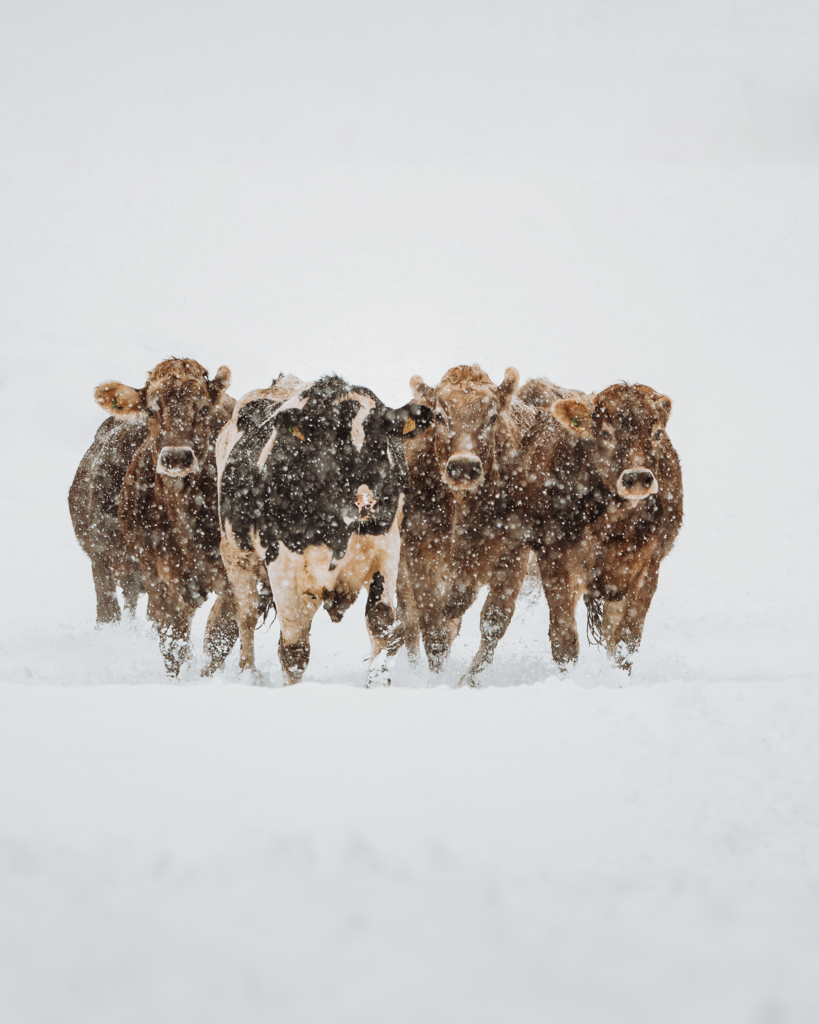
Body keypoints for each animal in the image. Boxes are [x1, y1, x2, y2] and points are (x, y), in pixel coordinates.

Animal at [76, 357, 238, 675]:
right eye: (152, 409)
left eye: (203, 408)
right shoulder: (157, 578)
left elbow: (218, 639)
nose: (176, 457)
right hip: (101, 559)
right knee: (109, 612)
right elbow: (173, 643)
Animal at [217, 374, 433, 685]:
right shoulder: (283, 568)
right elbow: (294, 649)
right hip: (235, 556)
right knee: (245, 614)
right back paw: (249, 674)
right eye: (330, 441)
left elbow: (381, 622)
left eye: (382, 441)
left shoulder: (386, 551)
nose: (366, 501)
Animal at [398, 364, 537, 686]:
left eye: (492, 416)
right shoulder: (416, 552)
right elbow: (432, 627)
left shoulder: (514, 555)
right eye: (439, 415)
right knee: (409, 619)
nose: (463, 466)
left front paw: (467, 682)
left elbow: (494, 621)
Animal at [517, 379, 683, 671]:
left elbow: (626, 640)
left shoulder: (647, 568)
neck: (614, 529)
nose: (637, 477)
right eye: (605, 433)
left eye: (657, 433)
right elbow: (564, 640)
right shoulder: (557, 563)